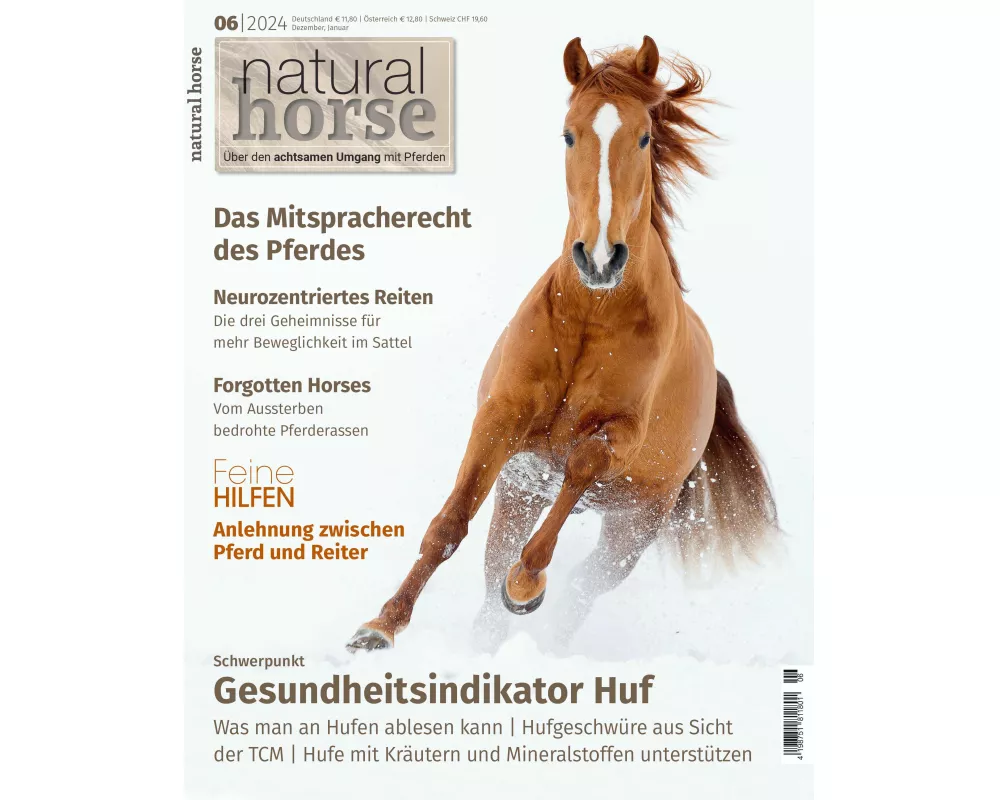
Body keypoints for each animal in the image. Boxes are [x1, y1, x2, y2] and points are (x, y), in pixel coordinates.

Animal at [347, 35, 777, 652]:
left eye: (643, 136)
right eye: (569, 134)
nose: (599, 257)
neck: (592, 315)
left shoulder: (619, 434)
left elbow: (581, 462)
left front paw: (527, 584)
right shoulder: (501, 418)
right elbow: (449, 523)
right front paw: (379, 627)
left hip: (635, 523)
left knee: (582, 587)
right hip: (521, 489)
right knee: (494, 571)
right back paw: (486, 641)